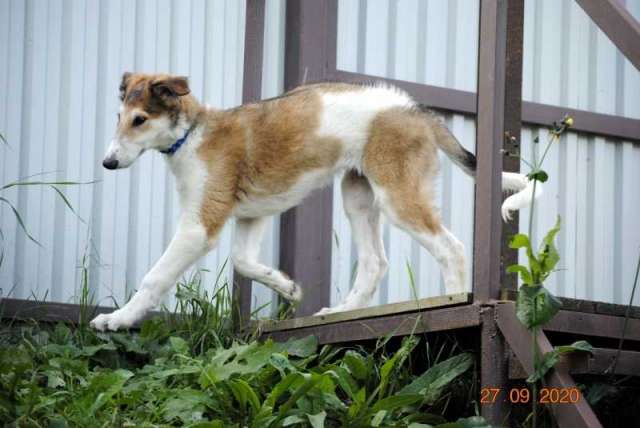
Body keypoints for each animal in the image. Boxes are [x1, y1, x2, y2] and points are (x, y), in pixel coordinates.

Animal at [90, 72, 540, 332]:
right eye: (118, 117)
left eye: (140, 120)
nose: (107, 163)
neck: (192, 133)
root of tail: (418, 111)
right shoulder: (252, 215)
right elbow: (244, 262)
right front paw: (287, 288)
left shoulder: (199, 225)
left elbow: (154, 278)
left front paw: (117, 319)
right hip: (357, 196)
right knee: (375, 262)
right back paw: (340, 310)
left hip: (397, 194)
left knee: (451, 247)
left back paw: (451, 303)